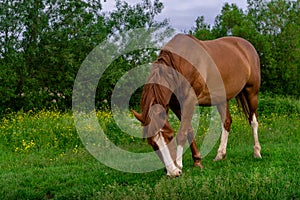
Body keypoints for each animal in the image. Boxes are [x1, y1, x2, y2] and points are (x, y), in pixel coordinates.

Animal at [132, 34, 262, 177]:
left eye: (170, 137)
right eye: (152, 143)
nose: (172, 173)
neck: (179, 64)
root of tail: (247, 46)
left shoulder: (189, 101)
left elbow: (182, 132)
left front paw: (180, 164)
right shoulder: (176, 105)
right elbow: (189, 130)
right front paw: (197, 161)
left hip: (252, 92)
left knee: (253, 121)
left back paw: (257, 152)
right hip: (222, 98)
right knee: (226, 121)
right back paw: (220, 155)